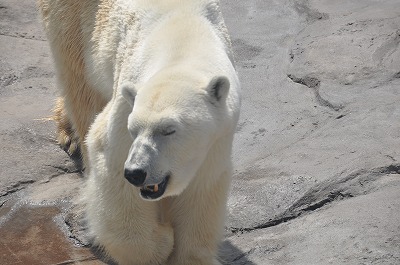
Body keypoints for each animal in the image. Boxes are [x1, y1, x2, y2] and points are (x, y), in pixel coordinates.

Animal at [39, 0, 241, 264]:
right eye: (133, 129)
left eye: (169, 130)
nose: (136, 173)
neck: (184, 39)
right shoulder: (127, 102)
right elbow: (112, 161)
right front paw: (161, 242)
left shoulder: (217, 137)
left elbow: (202, 187)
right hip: (74, 25)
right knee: (82, 89)